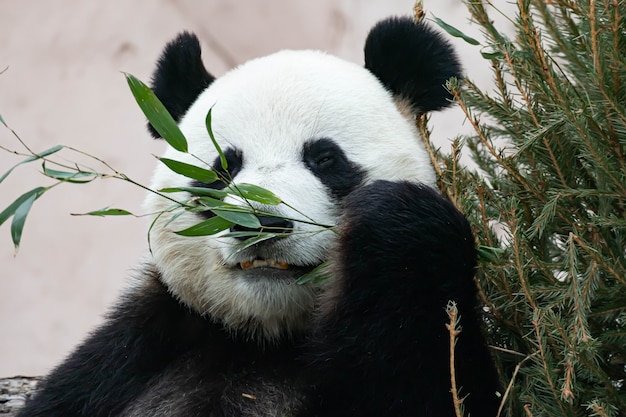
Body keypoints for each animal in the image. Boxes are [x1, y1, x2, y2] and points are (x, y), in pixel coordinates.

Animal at [17, 14, 500, 414]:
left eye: (325, 159)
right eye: (222, 169)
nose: (262, 224)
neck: (267, 339)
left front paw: (393, 218)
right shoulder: (130, 355)